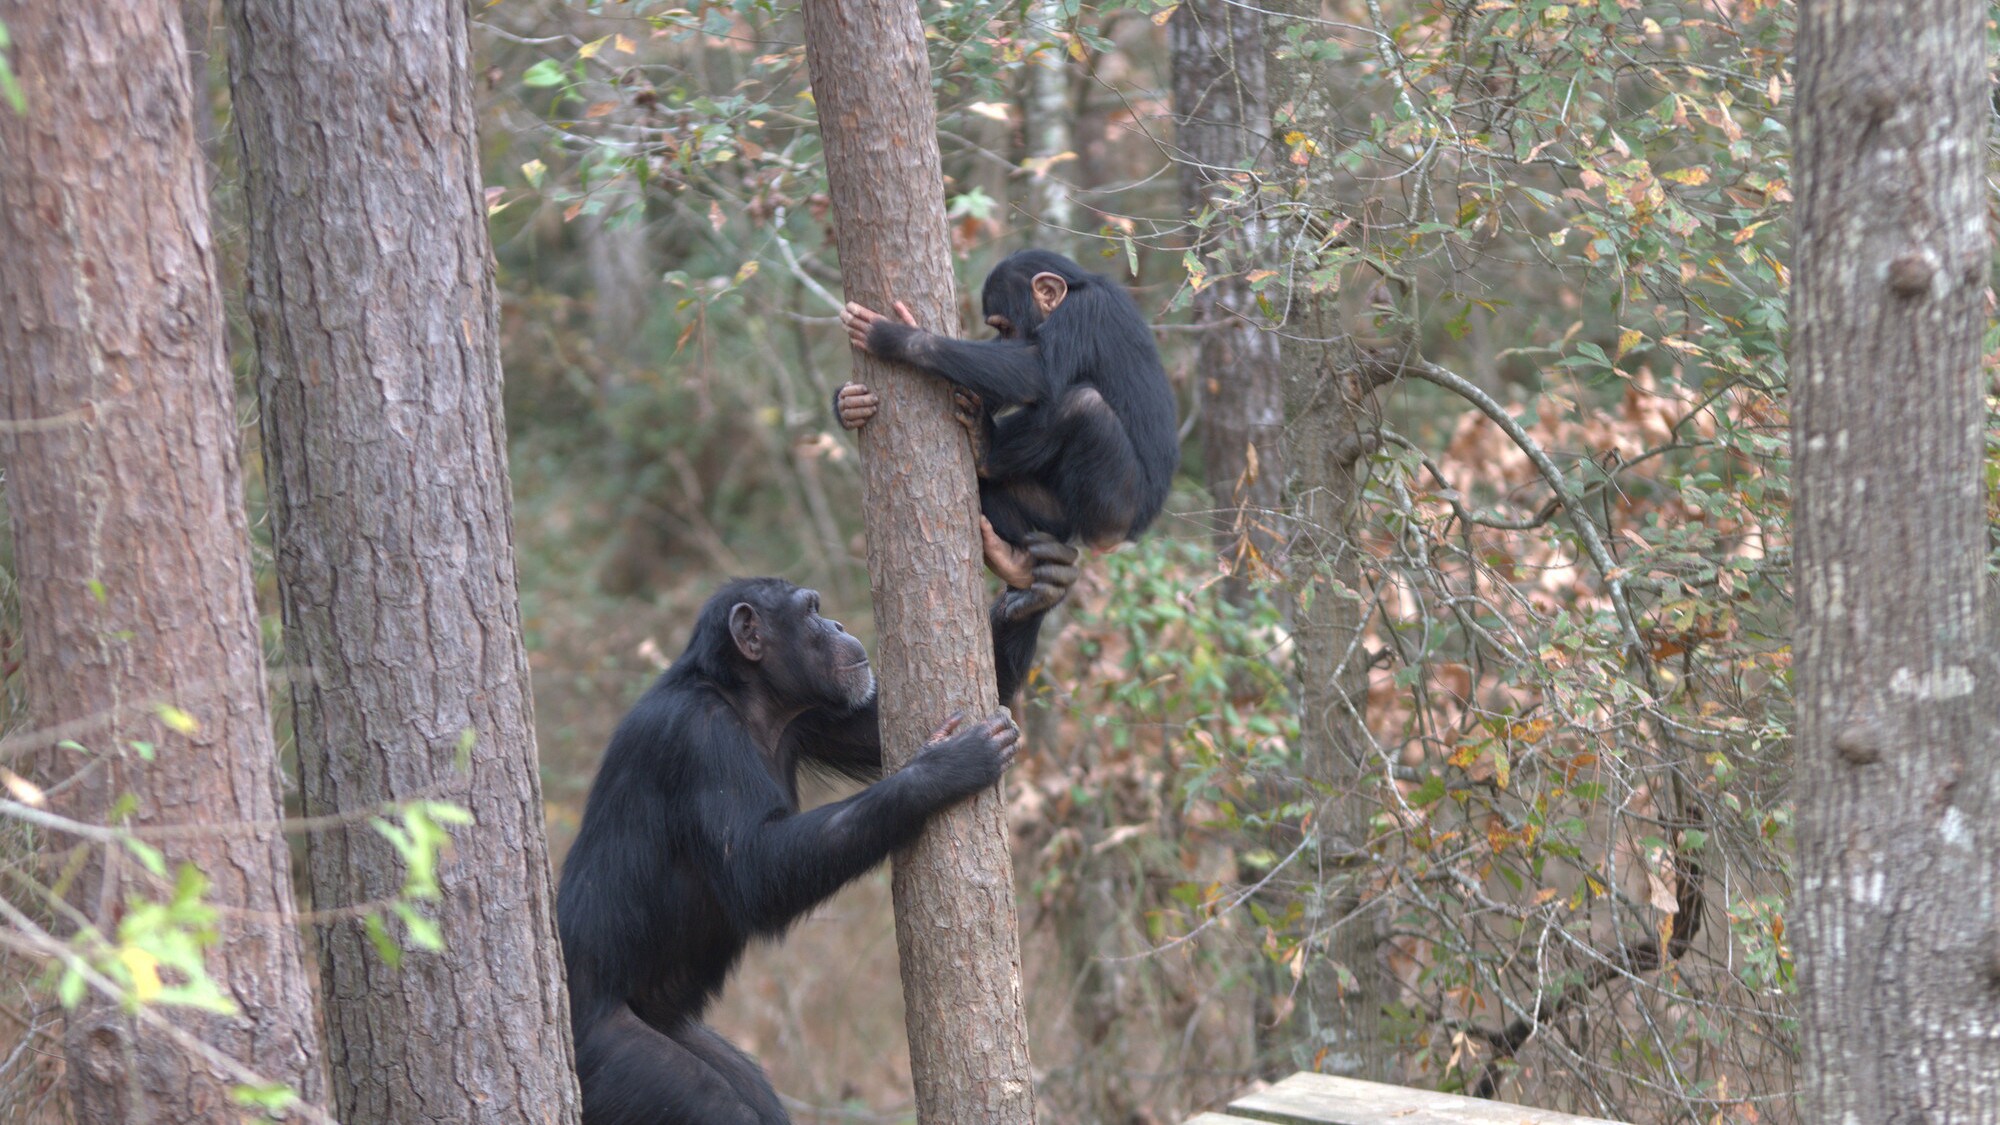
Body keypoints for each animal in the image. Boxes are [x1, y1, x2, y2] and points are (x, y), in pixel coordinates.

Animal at [556, 544, 1080, 1120]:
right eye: (810, 611)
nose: (837, 623)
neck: (747, 699)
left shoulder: (812, 717)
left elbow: (873, 730)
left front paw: (1029, 595)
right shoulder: (697, 735)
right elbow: (754, 865)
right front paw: (942, 769)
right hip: (606, 1055)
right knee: (715, 1104)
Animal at [836, 247, 1176, 588]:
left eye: (1005, 327)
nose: (1003, 339)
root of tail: (1122, 541)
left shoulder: (1085, 312)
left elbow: (1036, 370)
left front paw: (898, 337)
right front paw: (848, 404)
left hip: (1113, 514)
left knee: (1083, 404)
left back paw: (985, 450)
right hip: (1055, 518)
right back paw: (1014, 561)